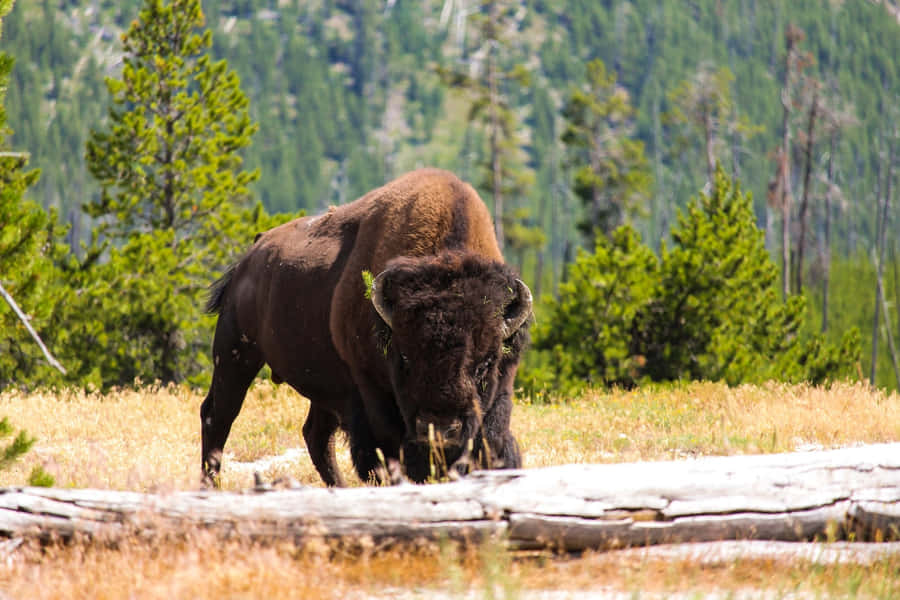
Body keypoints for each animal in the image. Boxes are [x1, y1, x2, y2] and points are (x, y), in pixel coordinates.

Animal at [201, 168, 532, 486]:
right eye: (405, 358)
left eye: (486, 363)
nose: (440, 429)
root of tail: (250, 255)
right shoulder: (369, 390)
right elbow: (384, 449)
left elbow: (492, 439)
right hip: (235, 352)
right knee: (217, 415)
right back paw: (211, 484)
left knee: (315, 434)